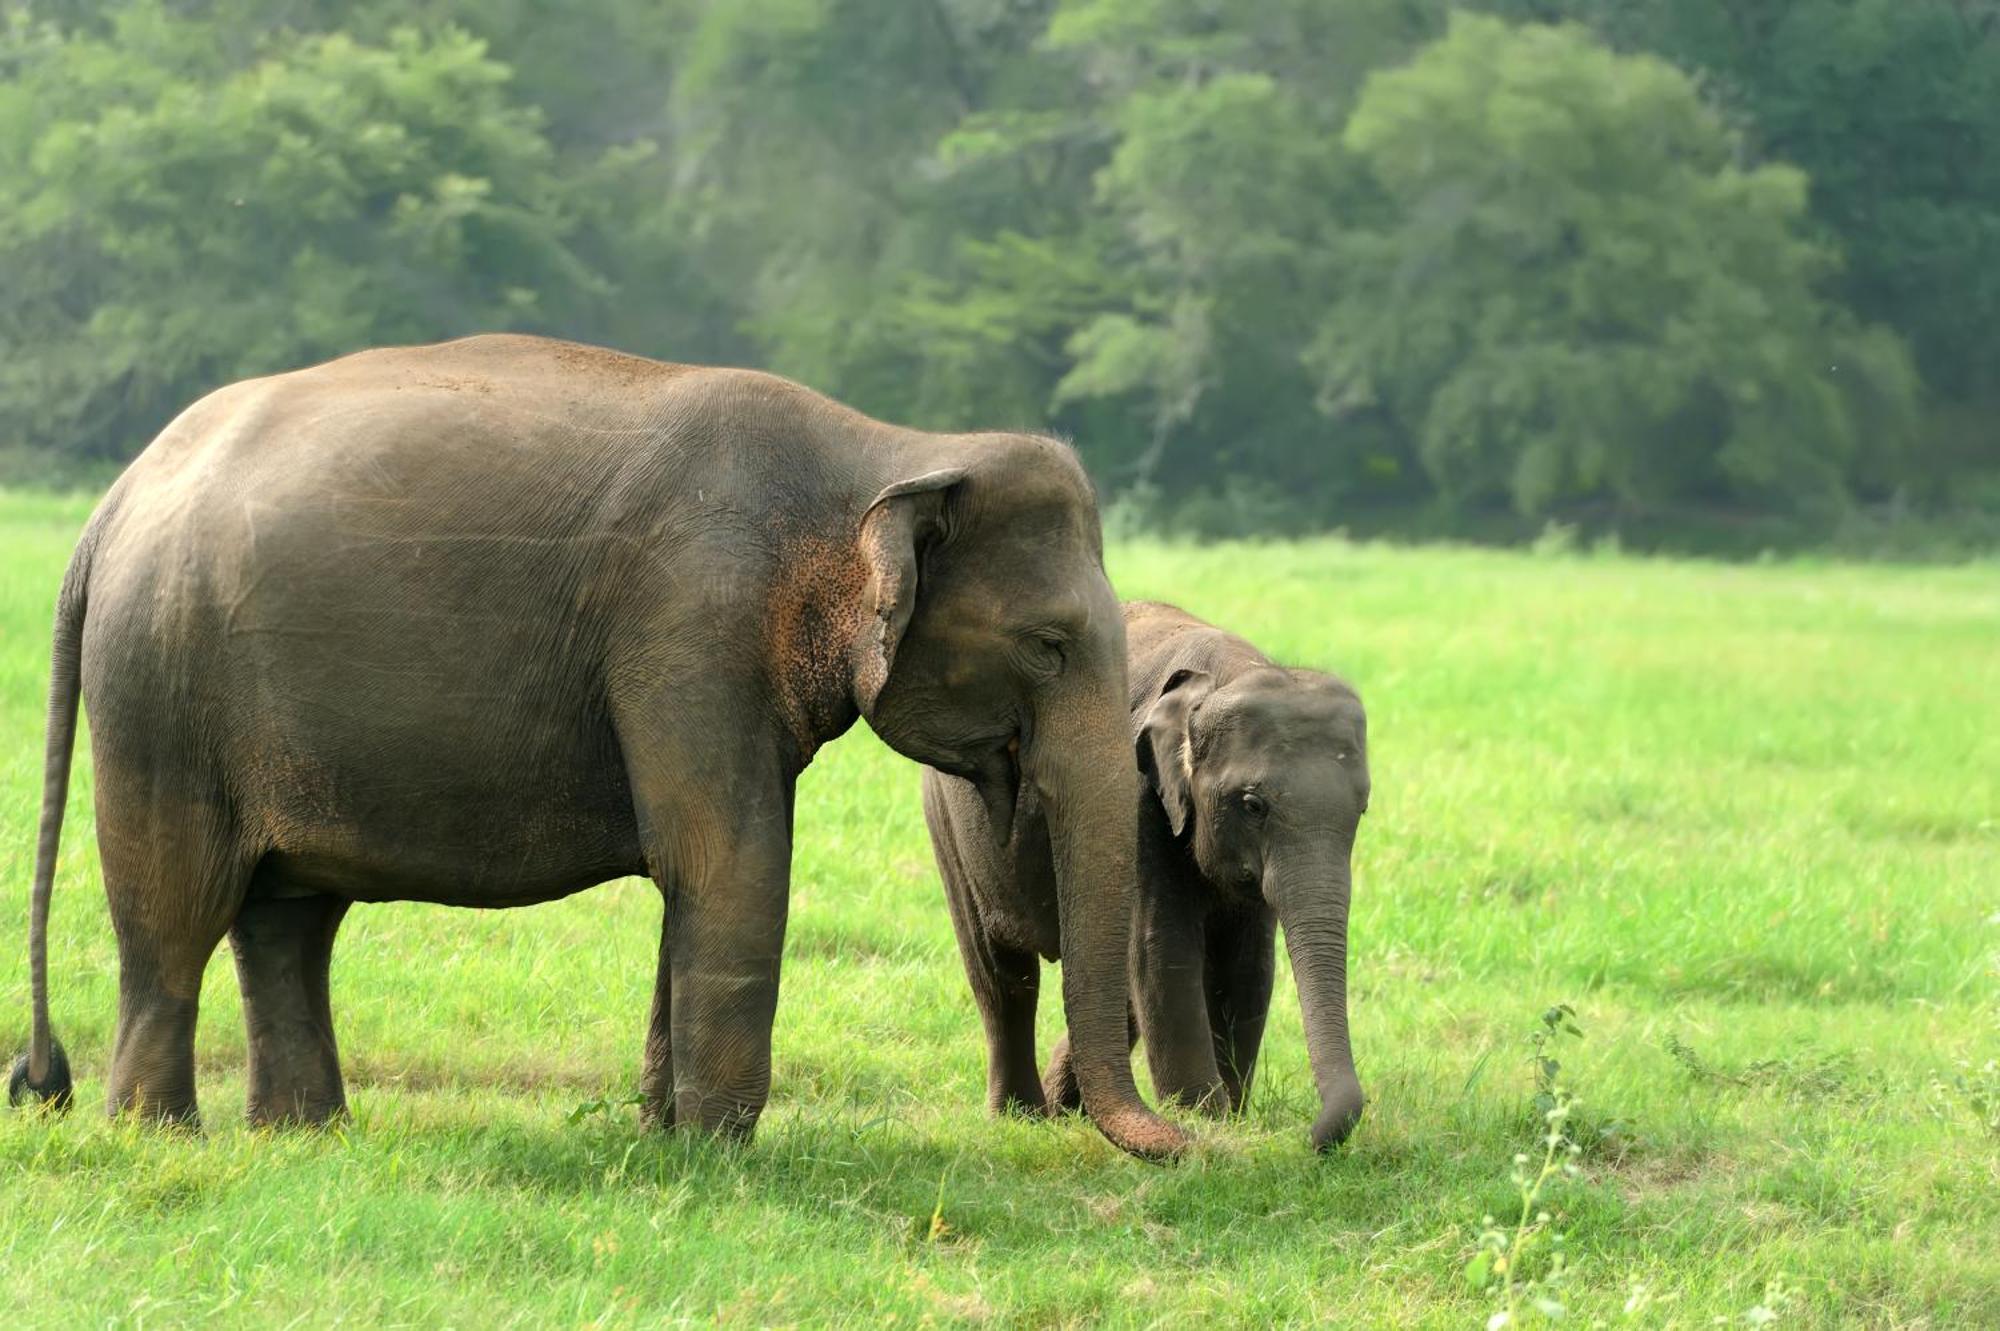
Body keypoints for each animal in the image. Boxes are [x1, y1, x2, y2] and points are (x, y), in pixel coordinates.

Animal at [7, 337, 1184, 1159]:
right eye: (1048, 646)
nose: (1184, 1144)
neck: (892, 447)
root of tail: (109, 506)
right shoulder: (691, 624)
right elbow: (728, 861)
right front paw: (720, 1155)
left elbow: (695, 872)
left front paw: (662, 1137)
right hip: (160, 690)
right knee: (176, 908)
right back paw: (160, 1136)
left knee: (288, 916)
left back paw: (306, 1138)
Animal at [924, 595, 1368, 1143]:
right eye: (1253, 805)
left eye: (1362, 808)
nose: (1309, 1138)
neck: (1228, 674)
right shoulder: (1139, 801)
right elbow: (1164, 950)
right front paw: (1204, 1117)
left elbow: (1247, 963)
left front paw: (1232, 1118)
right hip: (947, 815)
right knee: (1001, 974)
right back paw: (1020, 1117)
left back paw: (1064, 1110)